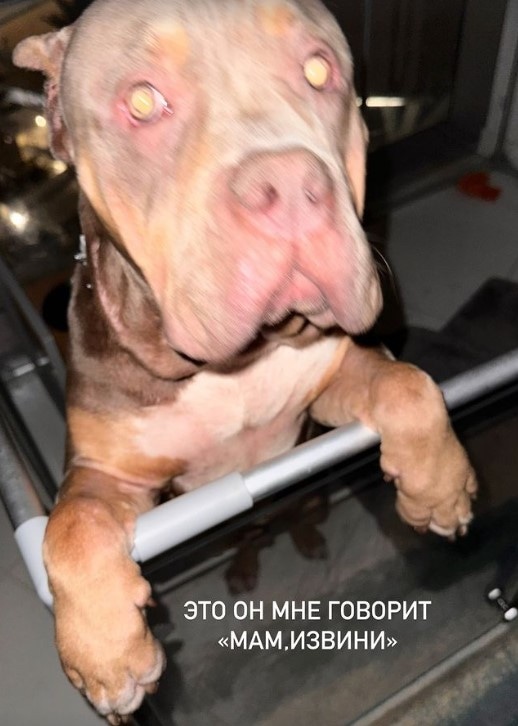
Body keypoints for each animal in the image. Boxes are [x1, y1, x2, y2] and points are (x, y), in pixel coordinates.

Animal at [13, 0, 477, 721]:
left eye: (318, 69)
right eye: (142, 101)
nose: (289, 183)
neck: (230, 367)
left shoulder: (334, 376)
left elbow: (409, 384)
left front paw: (440, 487)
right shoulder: (107, 470)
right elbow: (73, 525)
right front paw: (107, 652)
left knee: (297, 512)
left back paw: (308, 536)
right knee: (243, 536)